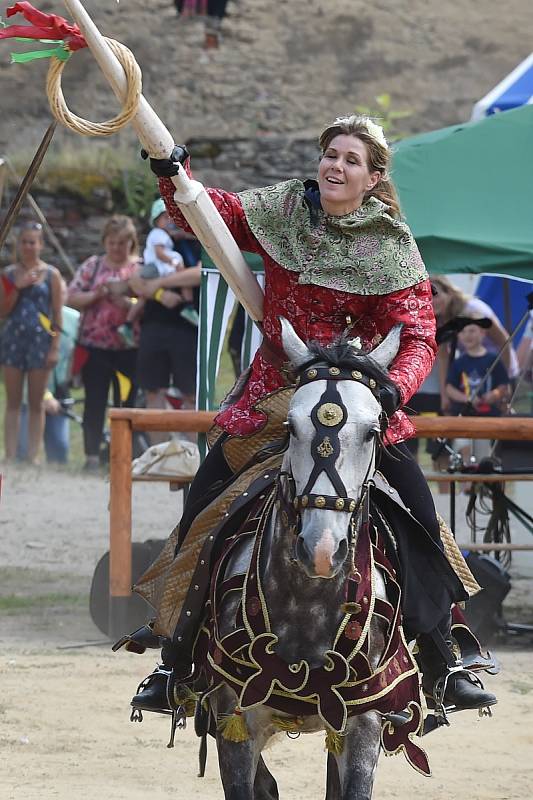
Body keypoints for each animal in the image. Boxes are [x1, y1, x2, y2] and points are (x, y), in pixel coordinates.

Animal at [210, 320, 402, 800]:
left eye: (372, 431)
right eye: (291, 428)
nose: (321, 549)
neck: (307, 604)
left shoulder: (363, 725)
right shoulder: (235, 724)